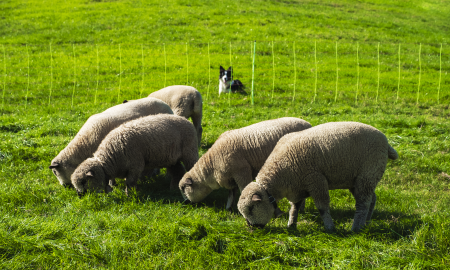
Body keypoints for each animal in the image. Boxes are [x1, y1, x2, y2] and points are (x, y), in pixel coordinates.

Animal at [71, 114, 199, 196]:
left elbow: (129, 182)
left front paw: (130, 195)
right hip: (171, 158)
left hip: (190, 151)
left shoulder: (135, 165)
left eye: (83, 181)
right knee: (178, 171)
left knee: (191, 166)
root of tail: (186, 120)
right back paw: (173, 189)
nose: (79, 195)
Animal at [178, 117, 312, 212]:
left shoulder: (242, 172)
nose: (185, 204)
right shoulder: (230, 179)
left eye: (183, 188)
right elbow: (231, 194)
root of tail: (308, 124)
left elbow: (243, 190)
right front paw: (229, 208)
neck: (212, 166)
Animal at [237, 122, 400, 232]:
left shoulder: (316, 180)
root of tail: (386, 142)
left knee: (363, 203)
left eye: (251, 208)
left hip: (367, 174)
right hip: (360, 179)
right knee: (372, 199)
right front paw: (291, 225)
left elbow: (322, 207)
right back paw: (366, 222)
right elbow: (294, 207)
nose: (252, 227)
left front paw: (330, 227)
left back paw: (356, 228)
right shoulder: (298, 186)